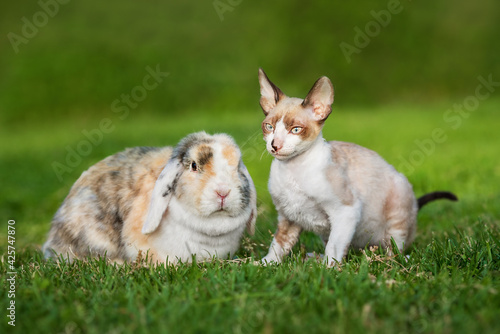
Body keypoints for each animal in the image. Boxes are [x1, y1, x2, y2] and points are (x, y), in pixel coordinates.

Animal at [258, 68, 458, 266]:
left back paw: (387, 261)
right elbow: (277, 246)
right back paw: (314, 257)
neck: (292, 170)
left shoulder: (346, 210)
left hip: (398, 208)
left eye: (296, 130)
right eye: (269, 127)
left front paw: (328, 269)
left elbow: (334, 247)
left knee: (395, 250)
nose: (275, 146)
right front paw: (262, 264)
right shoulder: (288, 217)